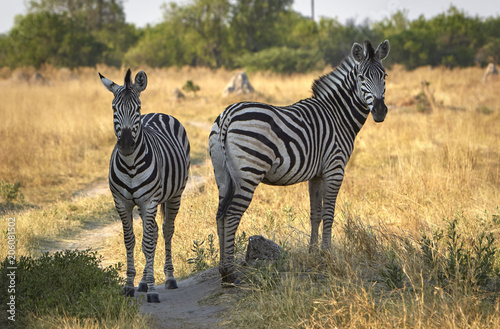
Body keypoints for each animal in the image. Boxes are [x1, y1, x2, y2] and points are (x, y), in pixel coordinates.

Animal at [98, 69, 190, 302]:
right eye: (114, 108)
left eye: (137, 108)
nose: (126, 145)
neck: (131, 164)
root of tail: (158, 113)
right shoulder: (122, 202)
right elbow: (130, 240)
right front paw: (129, 285)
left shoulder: (149, 201)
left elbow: (148, 242)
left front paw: (153, 290)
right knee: (154, 232)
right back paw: (143, 282)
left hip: (175, 195)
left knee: (166, 230)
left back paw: (168, 278)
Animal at [210, 39, 390, 282]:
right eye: (362, 77)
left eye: (384, 76)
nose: (380, 111)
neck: (338, 115)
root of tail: (228, 114)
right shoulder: (335, 169)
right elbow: (329, 214)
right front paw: (327, 254)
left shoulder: (317, 175)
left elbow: (315, 214)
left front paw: (313, 253)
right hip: (249, 172)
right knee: (231, 215)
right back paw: (230, 273)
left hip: (222, 174)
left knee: (220, 214)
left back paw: (222, 269)